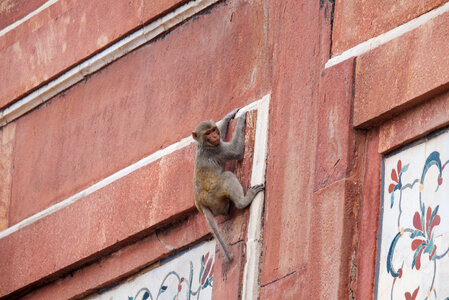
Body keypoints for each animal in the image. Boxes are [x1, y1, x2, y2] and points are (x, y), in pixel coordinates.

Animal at [191, 108, 264, 262]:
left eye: (213, 130)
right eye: (207, 133)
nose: (214, 136)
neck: (203, 145)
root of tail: (200, 202)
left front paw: (228, 117)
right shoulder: (217, 150)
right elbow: (236, 151)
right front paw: (242, 117)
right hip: (213, 195)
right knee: (227, 177)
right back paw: (244, 201)